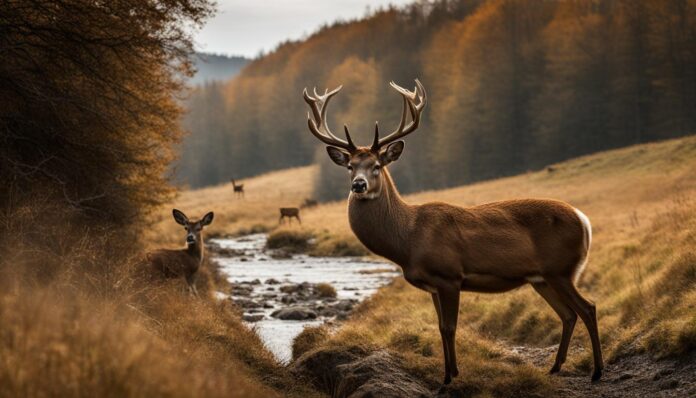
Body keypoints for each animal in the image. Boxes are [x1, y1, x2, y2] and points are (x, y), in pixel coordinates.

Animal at [304, 79, 604, 388]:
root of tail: (583, 220)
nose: (359, 185)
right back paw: (555, 368)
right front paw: (450, 373)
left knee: (588, 308)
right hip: (542, 278)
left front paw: (448, 379)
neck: (408, 240)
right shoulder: (434, 284)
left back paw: (596, 371)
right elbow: (439, 327)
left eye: (377, 166)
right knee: (568, 315)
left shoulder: (449, 275)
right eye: (350, 166)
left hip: (561, 269)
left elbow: (449, 328)